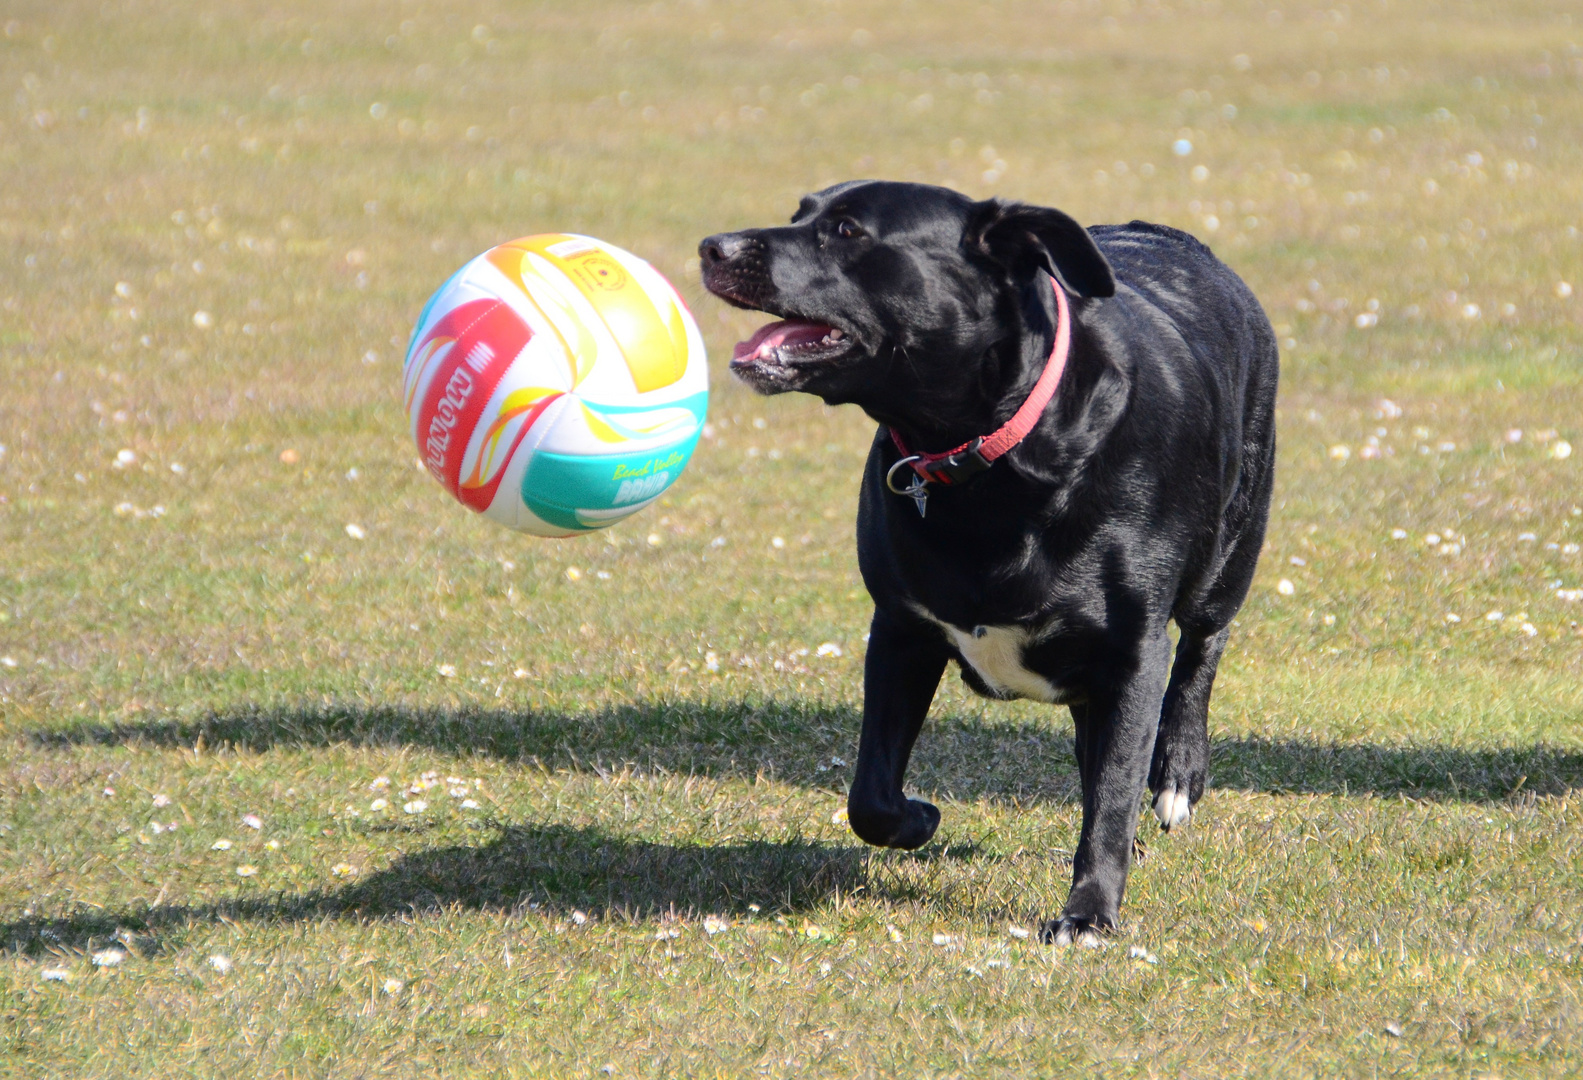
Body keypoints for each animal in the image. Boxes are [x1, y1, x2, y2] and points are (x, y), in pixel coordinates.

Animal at [699, 180, 1279, 937]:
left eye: (848, 231)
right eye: (801, 212)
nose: (712, 247)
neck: (992, 454)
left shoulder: (1133, 649)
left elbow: (1114, 793)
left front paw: (1088, 912)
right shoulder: (902, 627)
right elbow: (869, 795)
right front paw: (917, 817)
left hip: (1232, 546)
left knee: (1204, 647)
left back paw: (1179, 769)